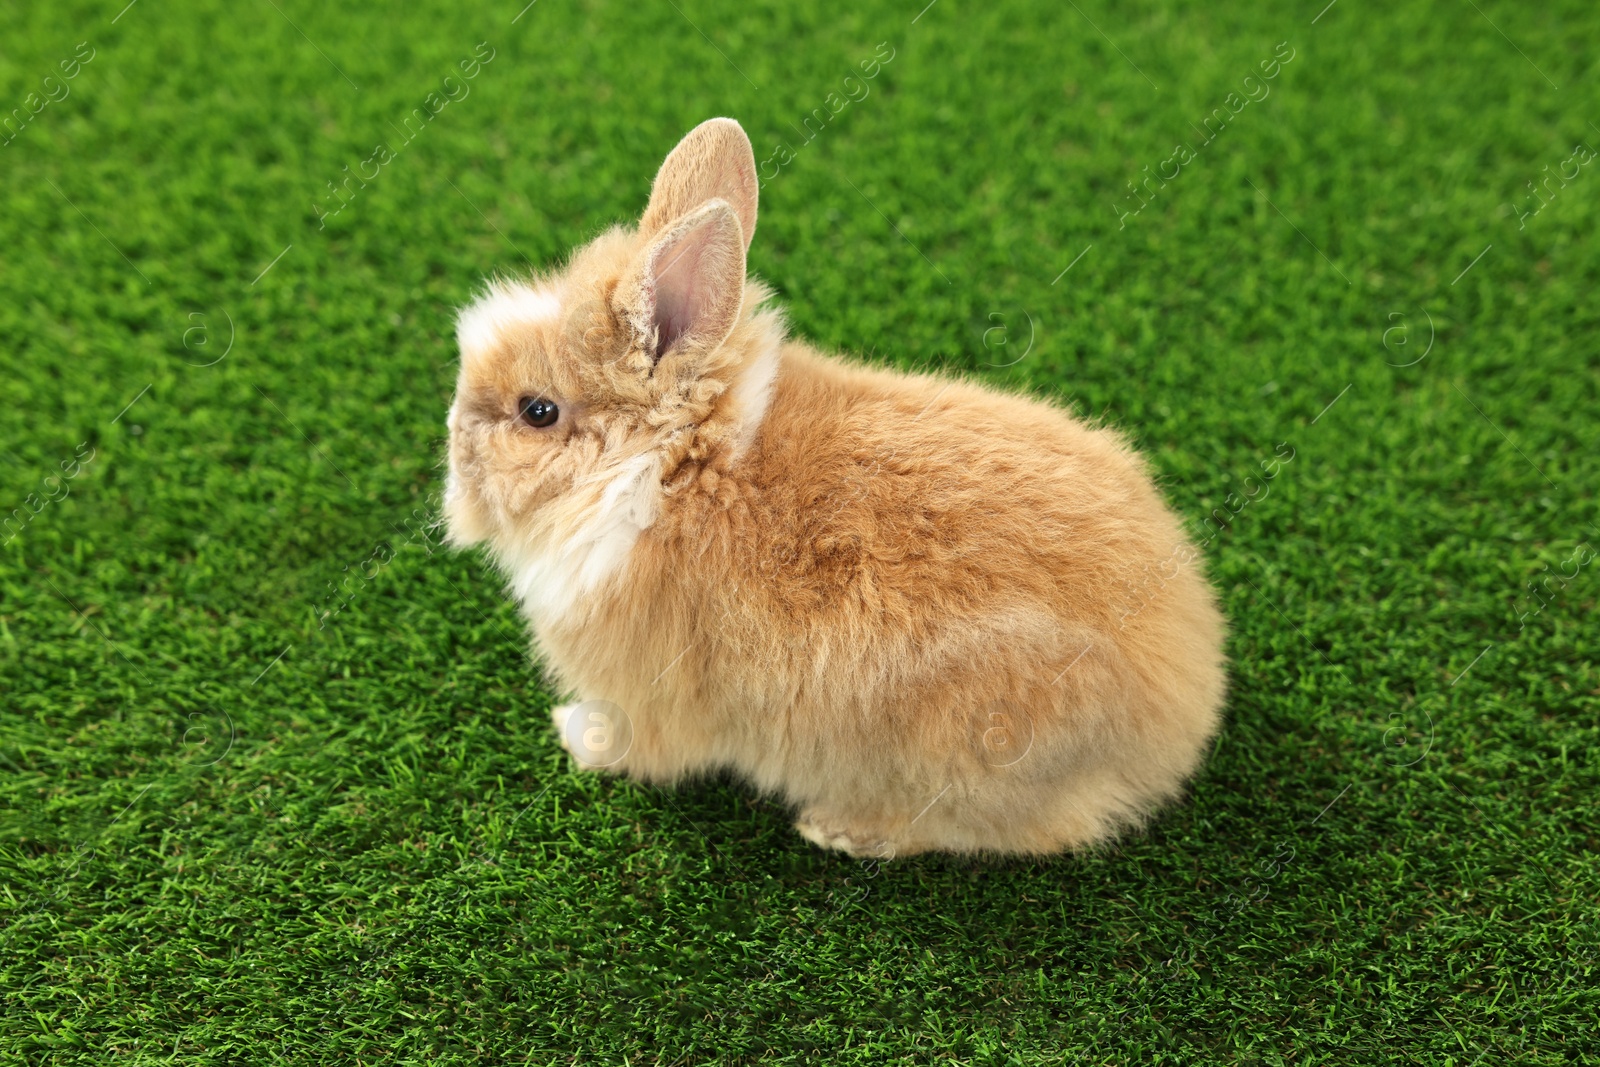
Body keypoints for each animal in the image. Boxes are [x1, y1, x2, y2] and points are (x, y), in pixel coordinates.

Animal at [444, 116, 1228, 857]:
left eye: (537, 411)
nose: (455, 458)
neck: (665, 470)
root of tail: (1181, 716)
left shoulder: (639, 700)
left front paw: (571, 733)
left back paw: (842, 830)